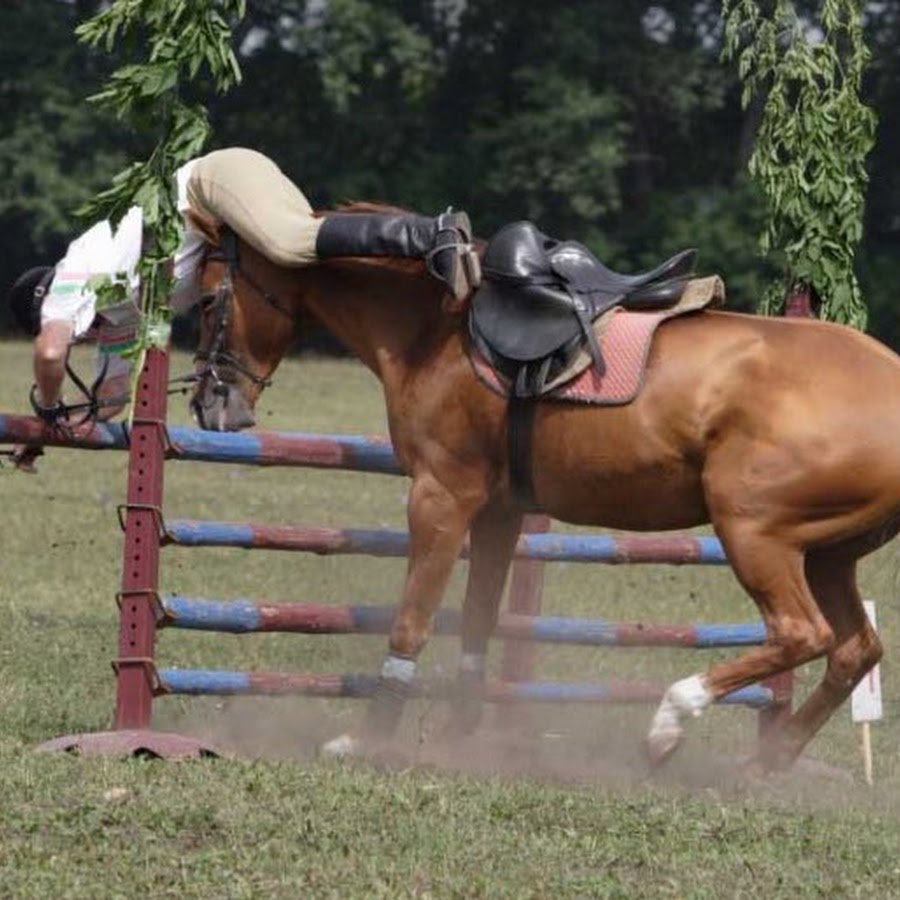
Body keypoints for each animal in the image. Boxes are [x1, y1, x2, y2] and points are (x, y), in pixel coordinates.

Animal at [190, 206, 900, 773]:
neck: (436, 325)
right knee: (854, 649)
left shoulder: (441, 496)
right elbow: (477, 622)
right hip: (827, 552)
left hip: (754, 531)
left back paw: (669, 723)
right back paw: (764, 762)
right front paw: (457, 736)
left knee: (801, 634)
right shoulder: (499, 512)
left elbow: (412, 622)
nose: (210, 404)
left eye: (206, 300)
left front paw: (368, 741)